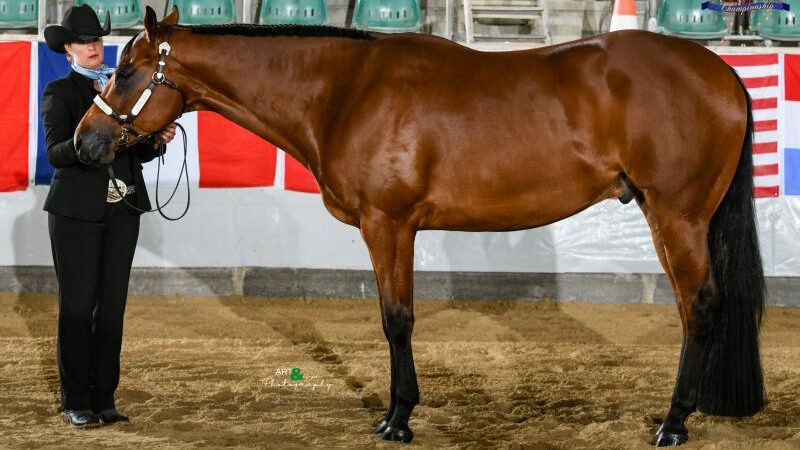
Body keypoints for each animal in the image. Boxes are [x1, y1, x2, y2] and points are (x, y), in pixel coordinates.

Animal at [76, 5, 768, 444]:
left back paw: (673, 423)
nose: (85, 142)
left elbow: (396, 319)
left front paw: (398, 419)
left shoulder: (388, 225)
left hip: (677, 216)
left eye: (126, 71)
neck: (345, 91)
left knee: (700, 307)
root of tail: (724, 74)